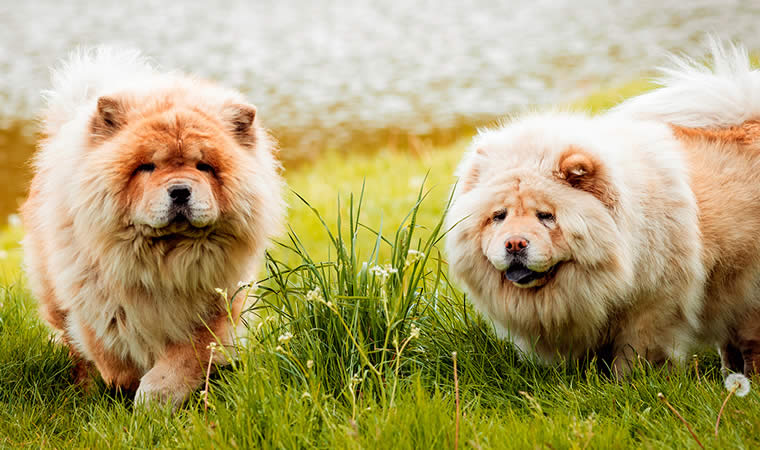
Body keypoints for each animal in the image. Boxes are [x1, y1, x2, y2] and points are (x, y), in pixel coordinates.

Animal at [23, 47, 286, 406]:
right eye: (147, 167)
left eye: (203, 167)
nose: (180, 190)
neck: (165, 261)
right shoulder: (94, 301)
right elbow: (110, 354)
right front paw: (126, 387)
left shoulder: (217, 308)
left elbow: (182, 359)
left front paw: (155, 399)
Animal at [448, 40, 760, 374]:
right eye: (499, 216)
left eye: (546, 217)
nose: (515, 244)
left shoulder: (652, 310)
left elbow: (633, 356)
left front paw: (629, 381)